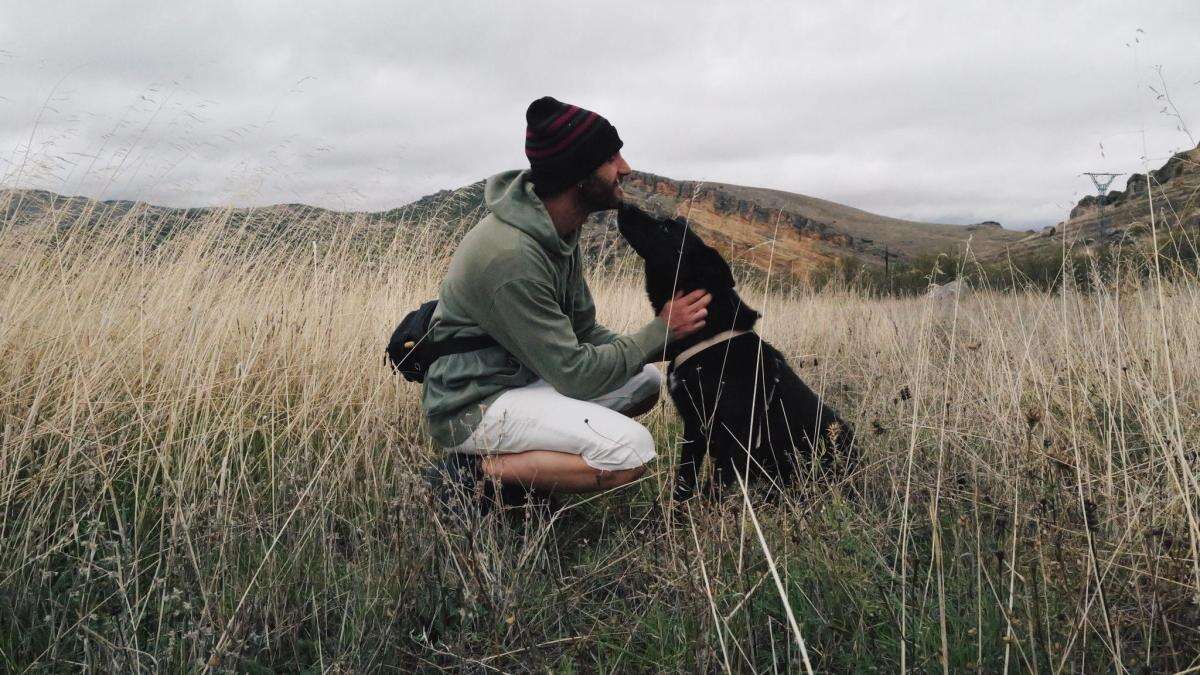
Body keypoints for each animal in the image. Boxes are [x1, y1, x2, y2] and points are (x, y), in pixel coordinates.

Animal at [614, 204, 859, 499]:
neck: (712, 333)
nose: (624, 205)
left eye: (665, 228)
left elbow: (713, 490)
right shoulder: (694, 427)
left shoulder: (733, 438)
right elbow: (685, 480)